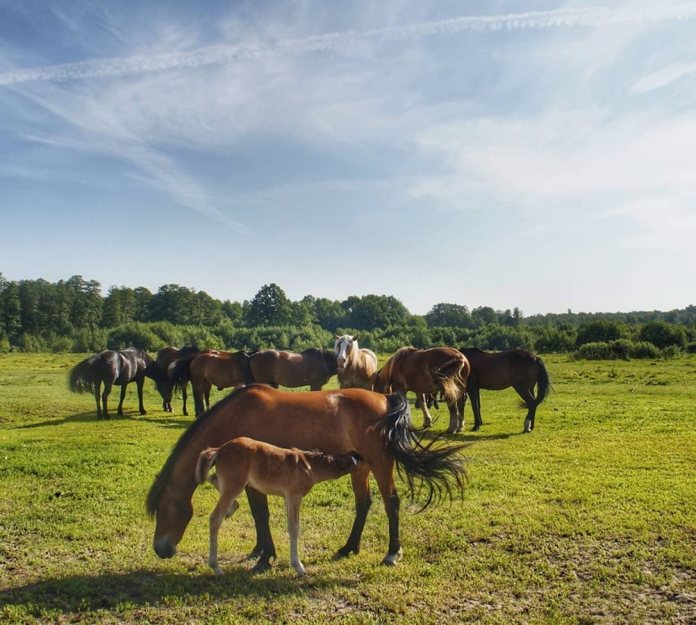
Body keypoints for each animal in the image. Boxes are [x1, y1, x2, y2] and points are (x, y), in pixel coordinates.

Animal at [194, 434, 358, 576]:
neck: (310, 466)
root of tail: (220, 450)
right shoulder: (294, 496)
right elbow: (294, 528)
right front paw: (299, 567)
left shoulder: (287, 497)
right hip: (234, 485)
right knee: (215, 518)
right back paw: (216, 567)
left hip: (232, 484)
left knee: (212, 478)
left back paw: (232, 507)